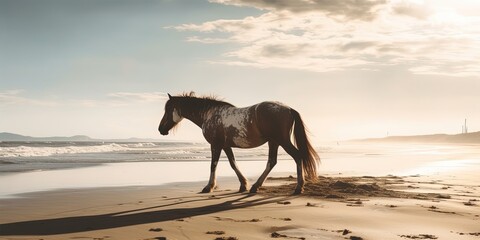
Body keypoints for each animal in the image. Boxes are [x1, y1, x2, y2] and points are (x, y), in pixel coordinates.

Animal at [158, 92, 318, 195]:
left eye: (168, 109)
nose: (160, 129)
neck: (209, 114)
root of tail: (288, 109)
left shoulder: (215, 145)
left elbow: (213, 165)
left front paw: (209, 187)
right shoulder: (226, 146)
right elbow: (233, 163)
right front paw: (243, 185)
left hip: (282, 141)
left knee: (297, 156)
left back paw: (298, 188)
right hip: (273, 142)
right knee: (272, 162)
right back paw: (255, 186)